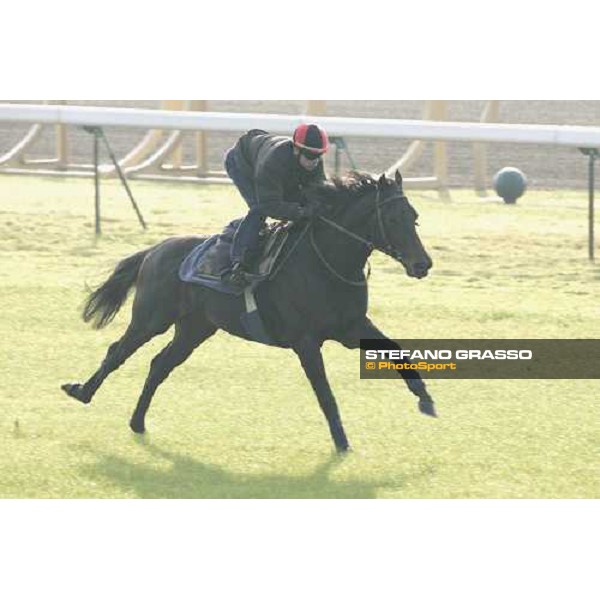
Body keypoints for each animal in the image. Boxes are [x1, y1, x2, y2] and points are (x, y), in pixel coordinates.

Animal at [61, 169, 434, 450]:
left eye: (414, 218)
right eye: (392, 217)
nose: (423, 264)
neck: (326, 263)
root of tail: (155, 249)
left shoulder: (352, 327)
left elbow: (396, 351)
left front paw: (425, 400)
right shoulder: (306, 341)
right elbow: (325, 392)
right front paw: (342, 443)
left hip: (195, 328)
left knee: (160, 364)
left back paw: (137, 422)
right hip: (151, 319)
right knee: (118, 351)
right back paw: (82, 392)